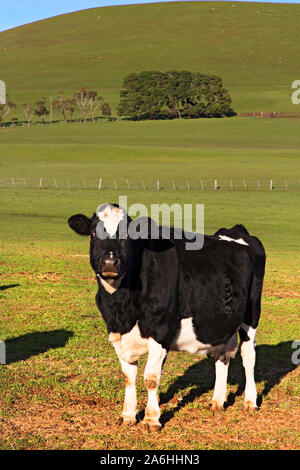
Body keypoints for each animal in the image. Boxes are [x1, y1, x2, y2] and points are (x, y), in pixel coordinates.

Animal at [68, 204, 264, 432]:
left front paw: (151, 419)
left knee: (248, 356)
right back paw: (217, 401)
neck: (123, 307)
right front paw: (127, 415)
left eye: (127, 235)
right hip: (221, 323)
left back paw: (250, 402)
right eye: (93, 234)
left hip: (251, 314)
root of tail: (236, 231)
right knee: (222, 356)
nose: (109, 262)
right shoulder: (117, 333)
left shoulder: (161, 331)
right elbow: (128, 376)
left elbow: (151, 377)